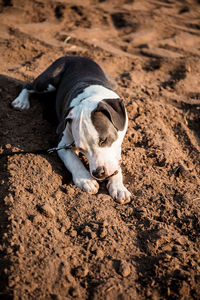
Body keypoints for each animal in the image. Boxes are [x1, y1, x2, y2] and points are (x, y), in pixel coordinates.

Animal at [12, 56, 131, 204]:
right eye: (81, 149)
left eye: (104, 140)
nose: (98, 173)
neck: (88, 99)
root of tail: (75, 56)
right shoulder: (62, 144)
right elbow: (74, 161)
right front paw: (85, 179)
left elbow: (115, 160)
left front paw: (118, 187)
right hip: (47, 83)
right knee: (28, 86)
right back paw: (21, 101)